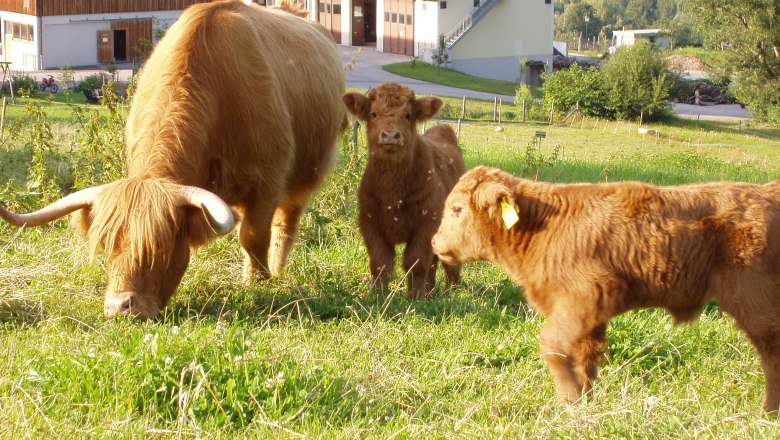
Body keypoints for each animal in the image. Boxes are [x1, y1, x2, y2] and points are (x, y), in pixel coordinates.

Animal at [0, 0, 346, 319]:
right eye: (106, 245)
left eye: (159, 247)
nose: (120, 307)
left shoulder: (268, 179)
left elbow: (253, 235)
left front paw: (257, 283)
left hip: (306, 175)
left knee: (285, 224)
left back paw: (277, 270)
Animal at [342, 82, 465, 299]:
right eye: (373, 113)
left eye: (408, 115)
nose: (390, 135)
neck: (393, 192)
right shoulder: (369, 223)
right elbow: (380, 263)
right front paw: (377, 295)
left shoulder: (426, 224)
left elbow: (416, 262)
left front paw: (415, 298)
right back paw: (431, 291)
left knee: (450, 263)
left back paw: (453, 291)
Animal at [432, 165, 780, 412]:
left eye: (457, 209)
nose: (434, 242)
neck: (542, 228)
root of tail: (765, 191)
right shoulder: (590, 315)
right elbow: (586, 356)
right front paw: (583, 402)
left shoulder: (585, 296)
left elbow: (552, 345)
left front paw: (569, 398)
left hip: (754, 297)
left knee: (771, 349)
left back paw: (767, 412)